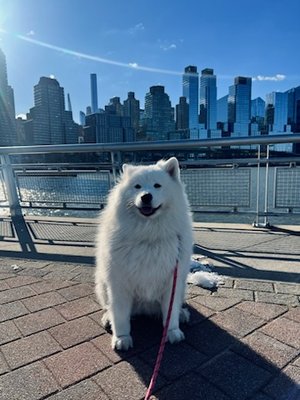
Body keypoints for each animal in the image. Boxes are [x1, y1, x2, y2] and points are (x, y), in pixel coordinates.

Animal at [95, 157, 193, 350]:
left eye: (157, 185)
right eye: (137, 186)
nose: (146, 196)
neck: (149, 236)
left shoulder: (172, 280)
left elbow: (170, 313)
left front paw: (172, 332)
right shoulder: (119, 283)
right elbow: (120, 315)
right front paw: (122, 338)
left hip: (181, 285)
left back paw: (182, 314)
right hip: (102, 283)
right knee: (109, 307)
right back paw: (108, 318)